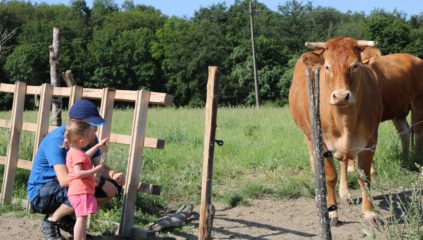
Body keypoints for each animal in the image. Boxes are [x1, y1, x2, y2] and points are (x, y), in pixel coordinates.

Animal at [292, 36, 384, 226]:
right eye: (327, 66)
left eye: (355, 65)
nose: (341, 96)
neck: (345, 121)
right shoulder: (321, 142)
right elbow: (329, 176)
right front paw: (332, 212)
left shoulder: (370, 140)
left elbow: (364, 177)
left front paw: (370, 213)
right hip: (308, 136)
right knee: (315, 164)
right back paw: (320, 198)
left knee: (344, 162)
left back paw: (345, 193)